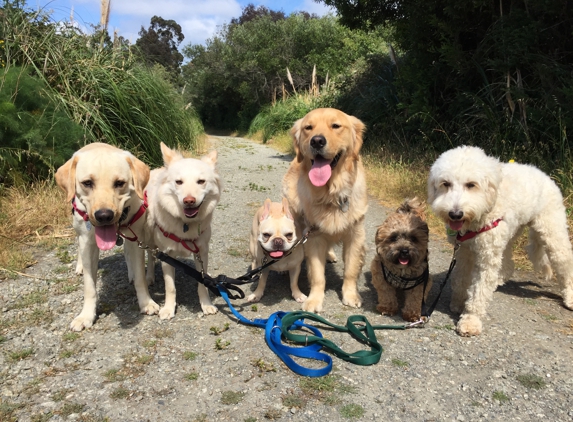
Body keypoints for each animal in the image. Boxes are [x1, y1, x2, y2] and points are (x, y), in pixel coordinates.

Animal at [426, 145, 572, 336]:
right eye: (446, 184)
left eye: (471, 184)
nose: (455, 214)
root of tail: (543, 174)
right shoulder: (465, 251)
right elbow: (460, 278)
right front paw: (458, 302)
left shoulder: (486, 257)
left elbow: (479, 290)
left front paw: (471, 319)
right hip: (510, 232)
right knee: (508, 263)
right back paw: (499, 279)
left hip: (552, 233)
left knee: (564, 262)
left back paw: (569, 297)